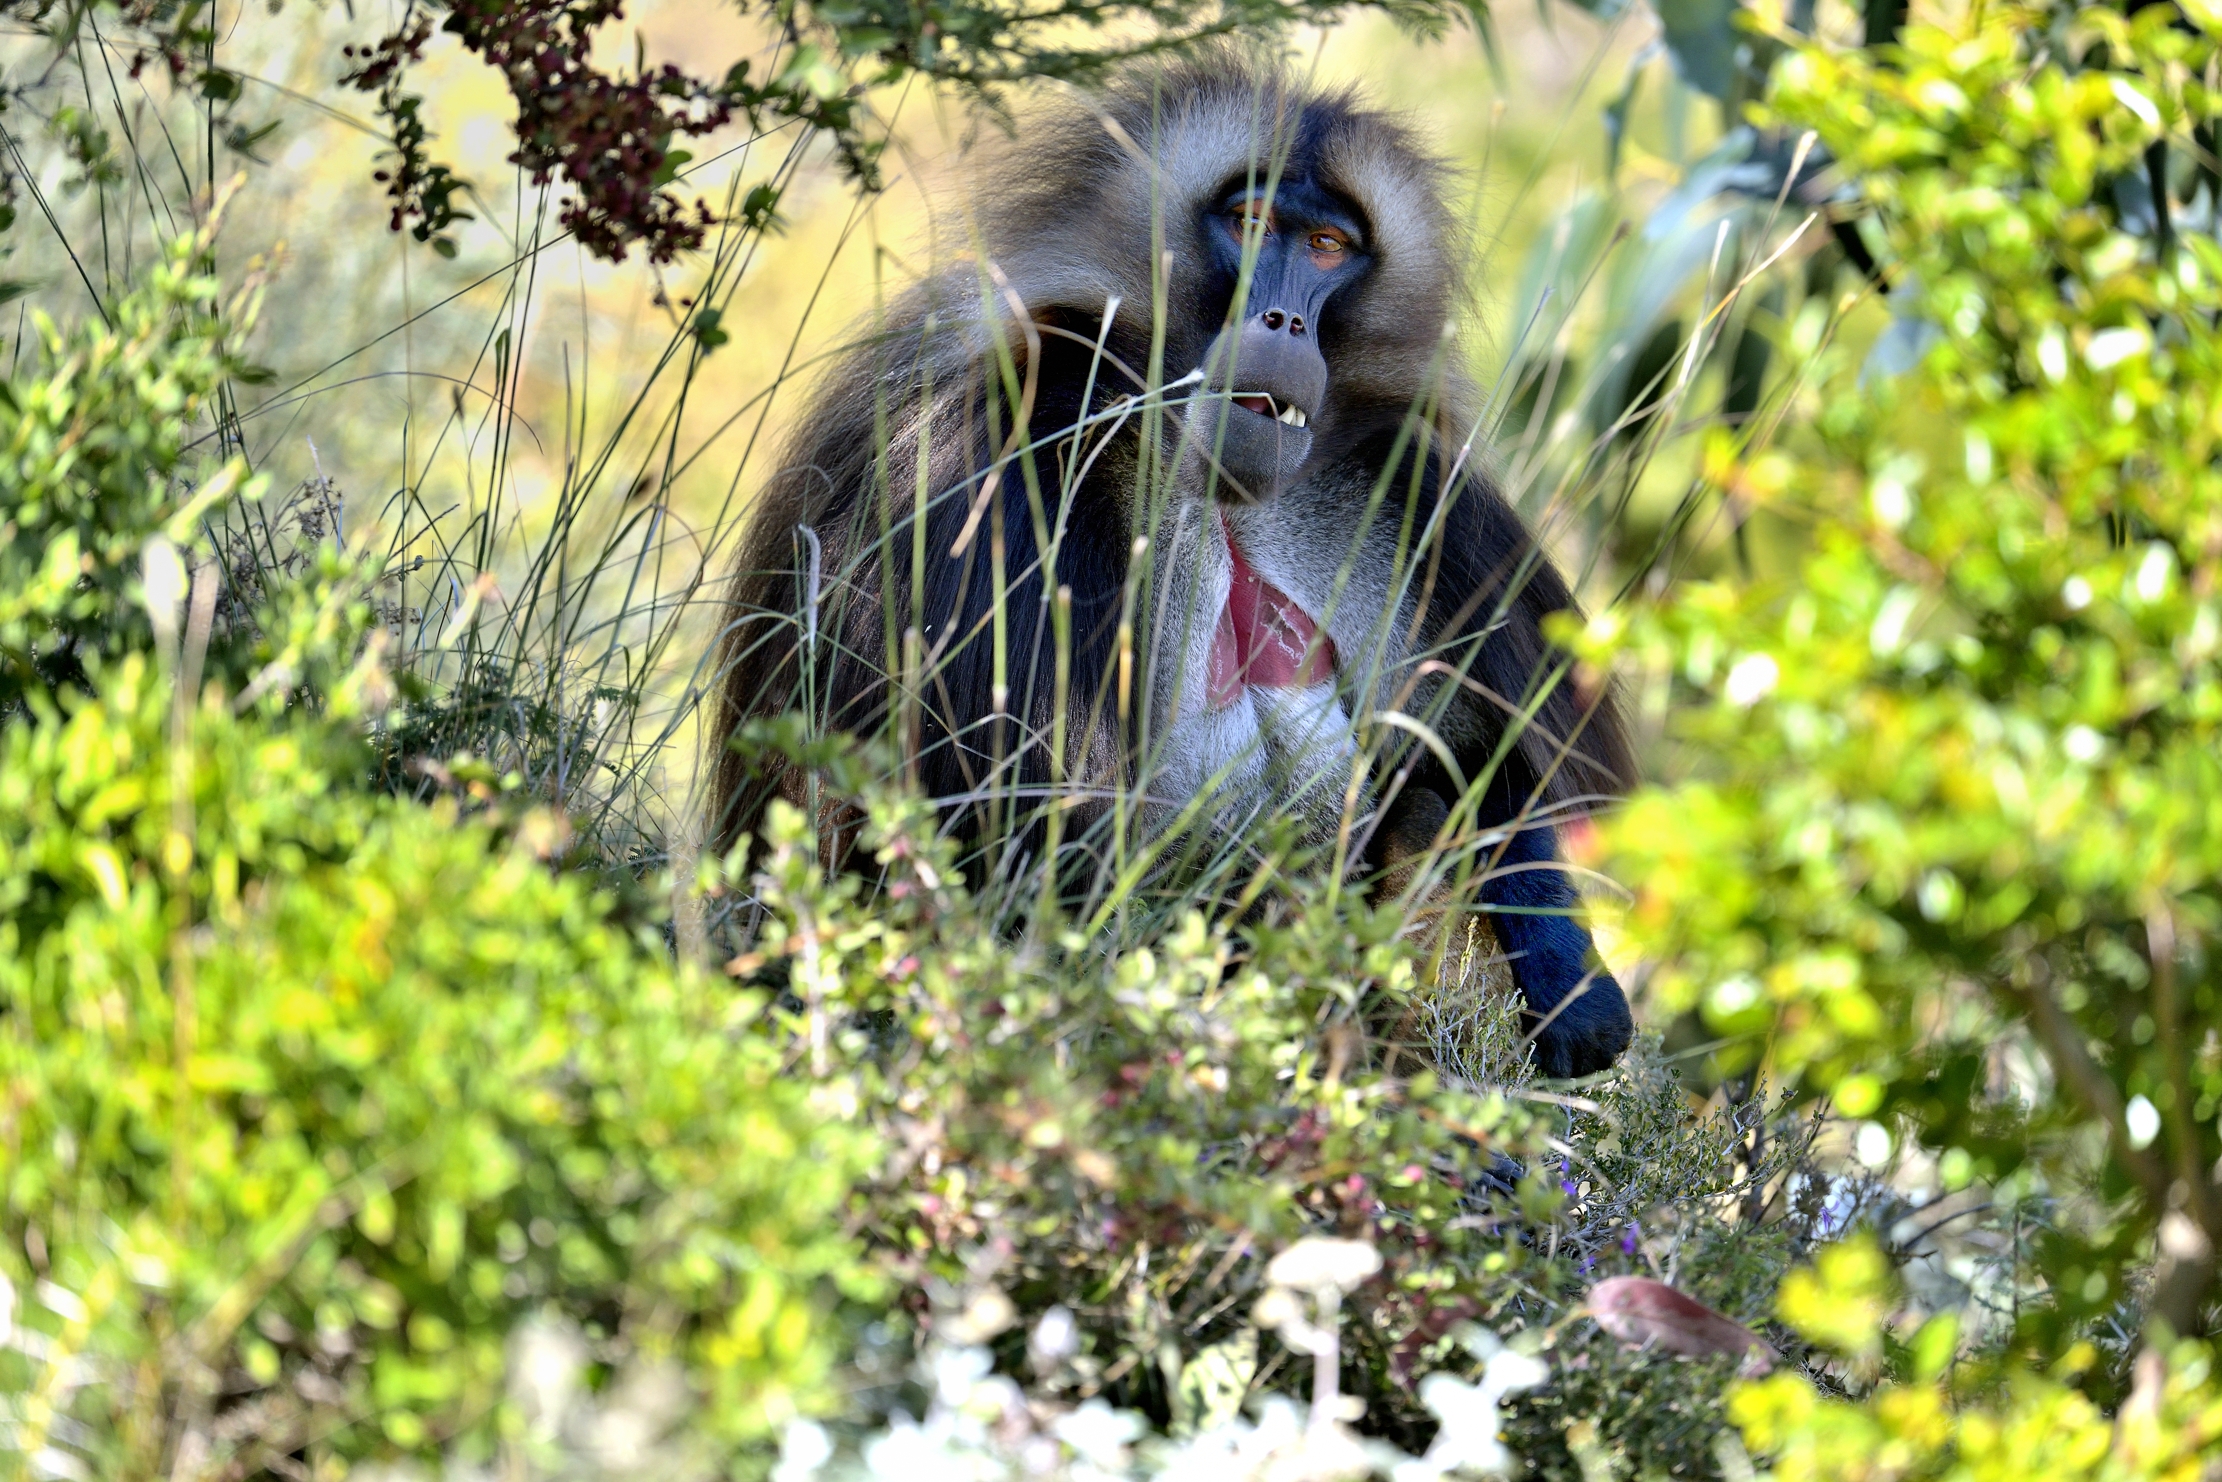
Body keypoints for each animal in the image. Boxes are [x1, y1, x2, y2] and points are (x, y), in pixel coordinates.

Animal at [709, 51, 1636, 1080]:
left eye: (1326, 245)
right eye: (1249, 223)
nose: (1282, 321)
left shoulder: (1404, 491)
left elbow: (1479, 758)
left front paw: (1573, 986)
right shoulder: (993, 459)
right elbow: (1043, 860)